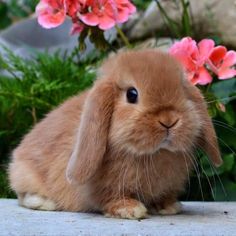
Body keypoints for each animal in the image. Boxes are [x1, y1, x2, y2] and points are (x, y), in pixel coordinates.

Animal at [8, 49, 222, 219]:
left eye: (182, 90)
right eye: (132, 94)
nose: (169, 120)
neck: (154, 154)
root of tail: (17, 155)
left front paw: (169, 206)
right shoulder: (102, 188)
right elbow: (110, 198)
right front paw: (130, 210)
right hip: (25, 174)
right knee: (22, 195)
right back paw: (46, 203)